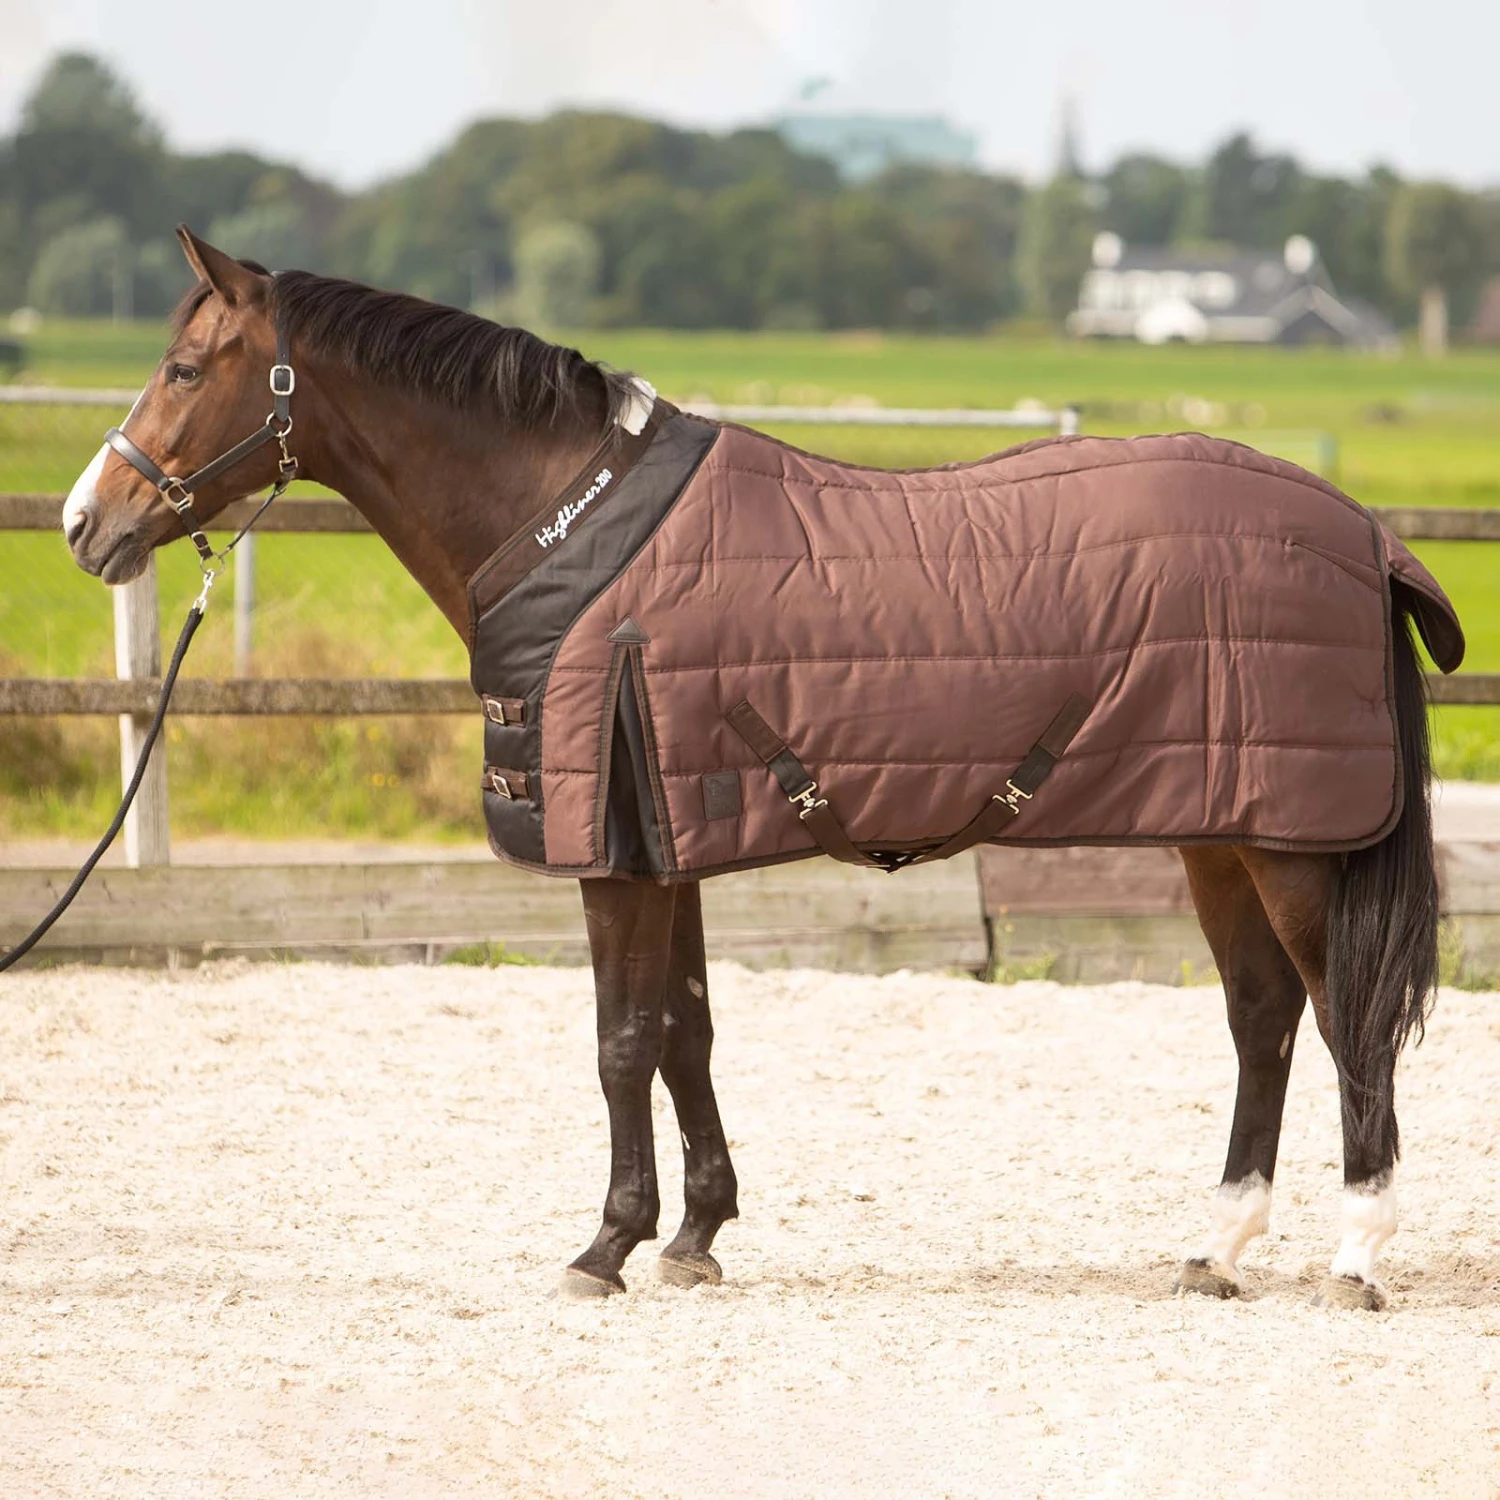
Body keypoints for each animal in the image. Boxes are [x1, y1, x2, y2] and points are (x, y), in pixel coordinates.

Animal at [60, 227, 1462, 1311]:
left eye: (184, 366)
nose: (85, 523)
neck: (569, 530)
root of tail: (1362, 535)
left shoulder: (614, 851)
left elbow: (622, 1040)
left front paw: (606, 1246)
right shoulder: (664, 832)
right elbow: (687, 1031)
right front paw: (693, 1237)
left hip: (1289, 844)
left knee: (1341, 1019)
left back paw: (1355, 1256)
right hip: (1219, 826)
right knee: (1261, 1015)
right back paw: (1215, 1248)